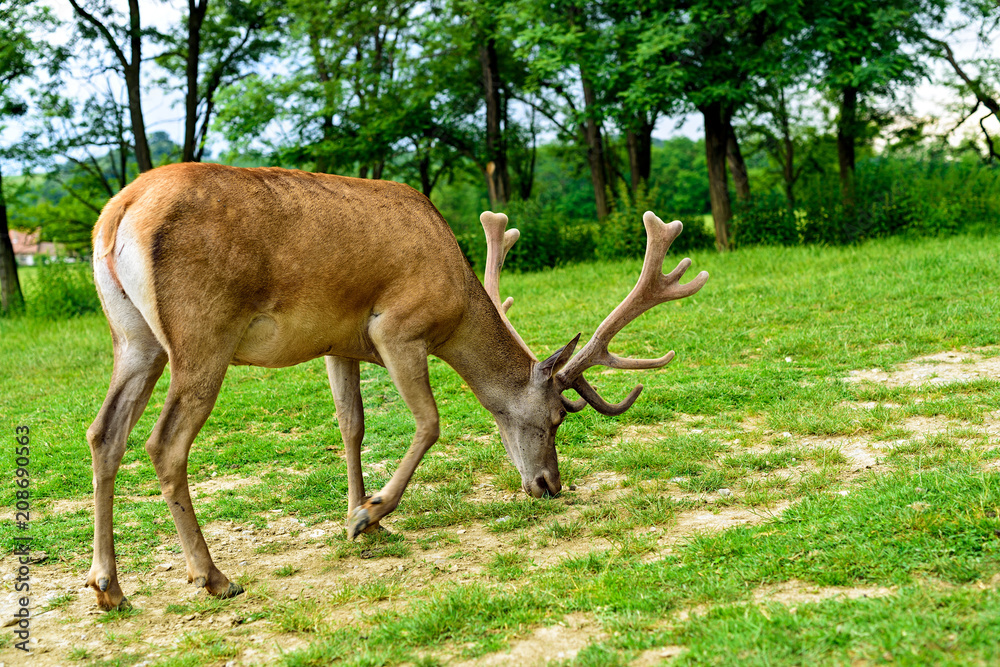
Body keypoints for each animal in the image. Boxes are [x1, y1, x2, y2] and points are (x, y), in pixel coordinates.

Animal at [85, 162, 708, 611]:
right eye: (557, 417)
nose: (549, 485)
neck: (456, 302)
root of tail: (118, 213)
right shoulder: (399, 328)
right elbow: (430, 422)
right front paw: (371, 514)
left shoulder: (337, 342)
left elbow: (351, 425)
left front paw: (360, 515)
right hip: (202, 333)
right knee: (164, 443)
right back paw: (214, 577)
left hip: (133, 336)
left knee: (103, 433)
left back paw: (109, 587)